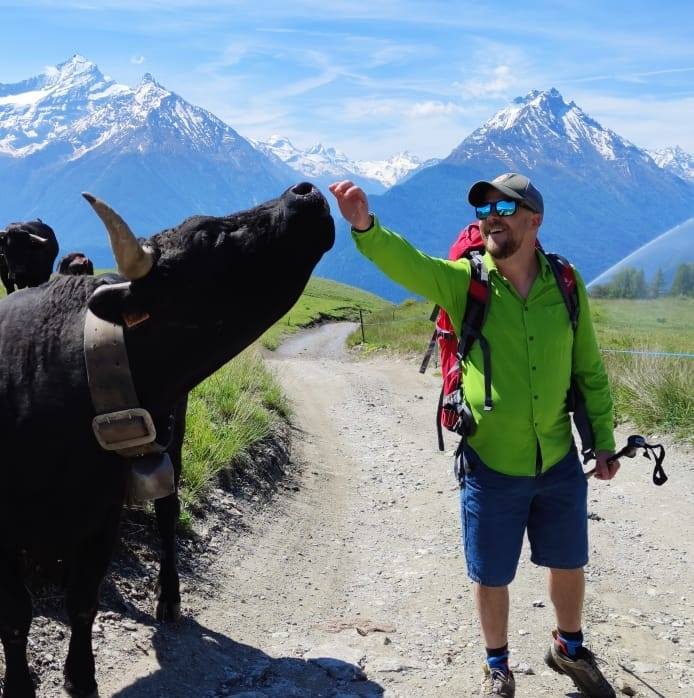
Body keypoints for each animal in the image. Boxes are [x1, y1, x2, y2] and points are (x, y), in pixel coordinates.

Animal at [0, 182, 335, 698]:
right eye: (212, 236)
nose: (304, 189)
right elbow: (16, 615)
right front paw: (19, 683)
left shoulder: (103, 512)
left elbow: (83, 600)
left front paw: (82, 677)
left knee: (167, 513)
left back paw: (169, 598)